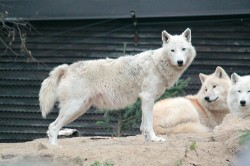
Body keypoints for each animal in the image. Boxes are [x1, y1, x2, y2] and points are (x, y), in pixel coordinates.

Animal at [39, 27, 196, 145]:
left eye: (183, 49)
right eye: (172, 50)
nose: (180, 62)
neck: (157, 64)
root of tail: (67, 68)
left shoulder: (146, 100)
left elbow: (143, 125)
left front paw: (147, 141)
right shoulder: (147, 97)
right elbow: (149, 124)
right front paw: (155, 139)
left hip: (79, 110)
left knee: (52, 127)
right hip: (74, 108)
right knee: (52, 127)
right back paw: (54, 148)